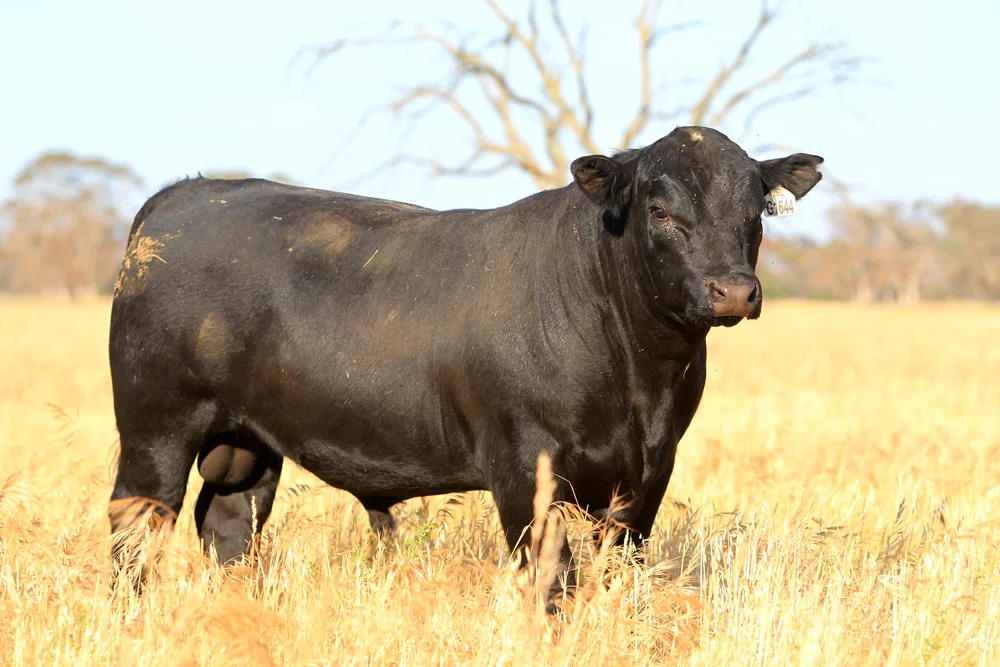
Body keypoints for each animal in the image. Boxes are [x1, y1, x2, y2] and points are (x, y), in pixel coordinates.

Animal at [108, 126, 822, 599]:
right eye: (660, 209)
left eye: (755, 210)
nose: (733, 290)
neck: (639, 380)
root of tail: (184, 195)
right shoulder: (523, 465)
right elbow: (552, 580)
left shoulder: (649, 471)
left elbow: (618, 570)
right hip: (155, 431)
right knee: (134, 531)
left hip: (246, 446)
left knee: (228, 530)